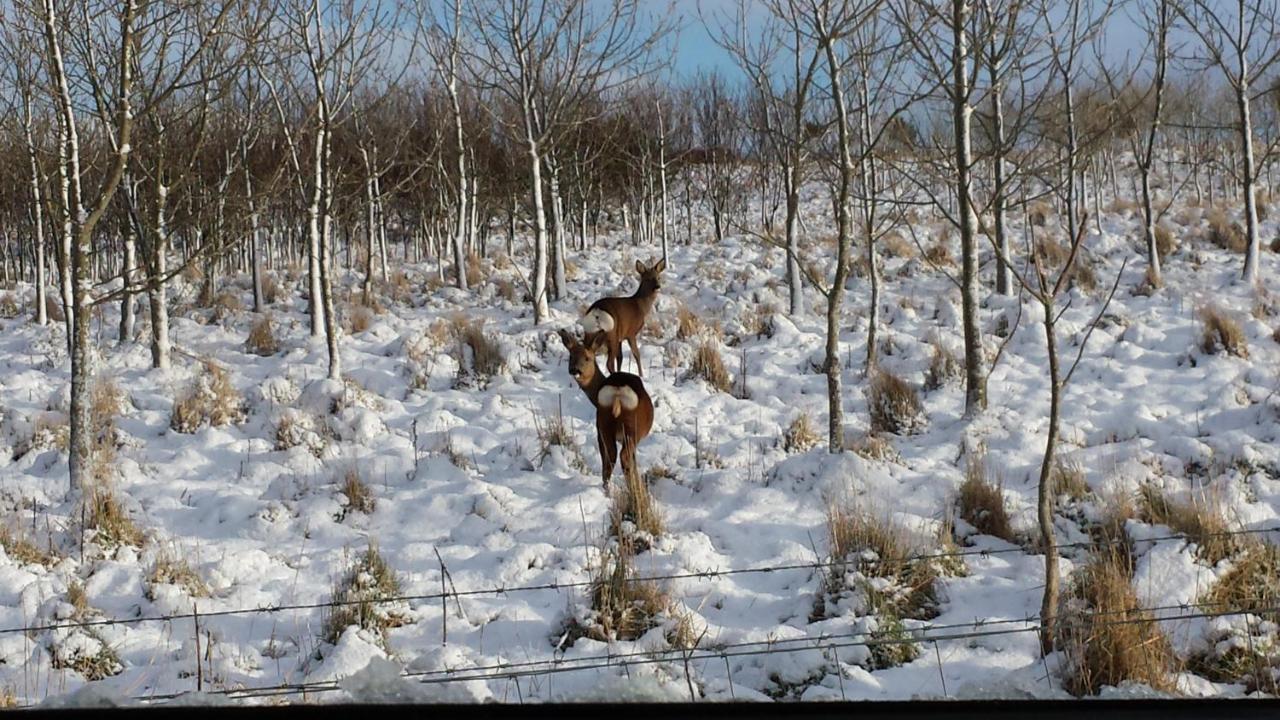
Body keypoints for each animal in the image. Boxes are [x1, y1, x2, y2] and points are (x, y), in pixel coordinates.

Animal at [558, 326, 655, 484]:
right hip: (632, 428)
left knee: (609, 458)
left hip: (603, 424)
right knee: (623, 457)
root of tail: (617, 393)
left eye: (587, 358)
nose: (574, 370)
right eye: (571, 356)